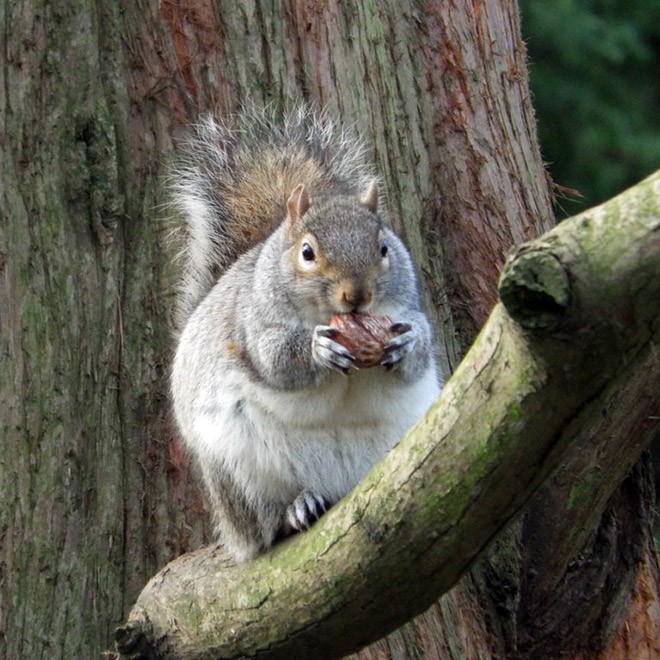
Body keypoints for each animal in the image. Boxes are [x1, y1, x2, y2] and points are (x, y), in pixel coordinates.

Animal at [169, 105, 444, 560]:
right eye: (308, 252)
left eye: (384, 247)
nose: (357, 295)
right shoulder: (254, 326)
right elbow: (276, 362)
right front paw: (318, 351)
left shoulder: (409, 311)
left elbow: (419, 350)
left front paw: (405, 346)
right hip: (239, 473)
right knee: (263, 524)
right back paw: (296, 507)